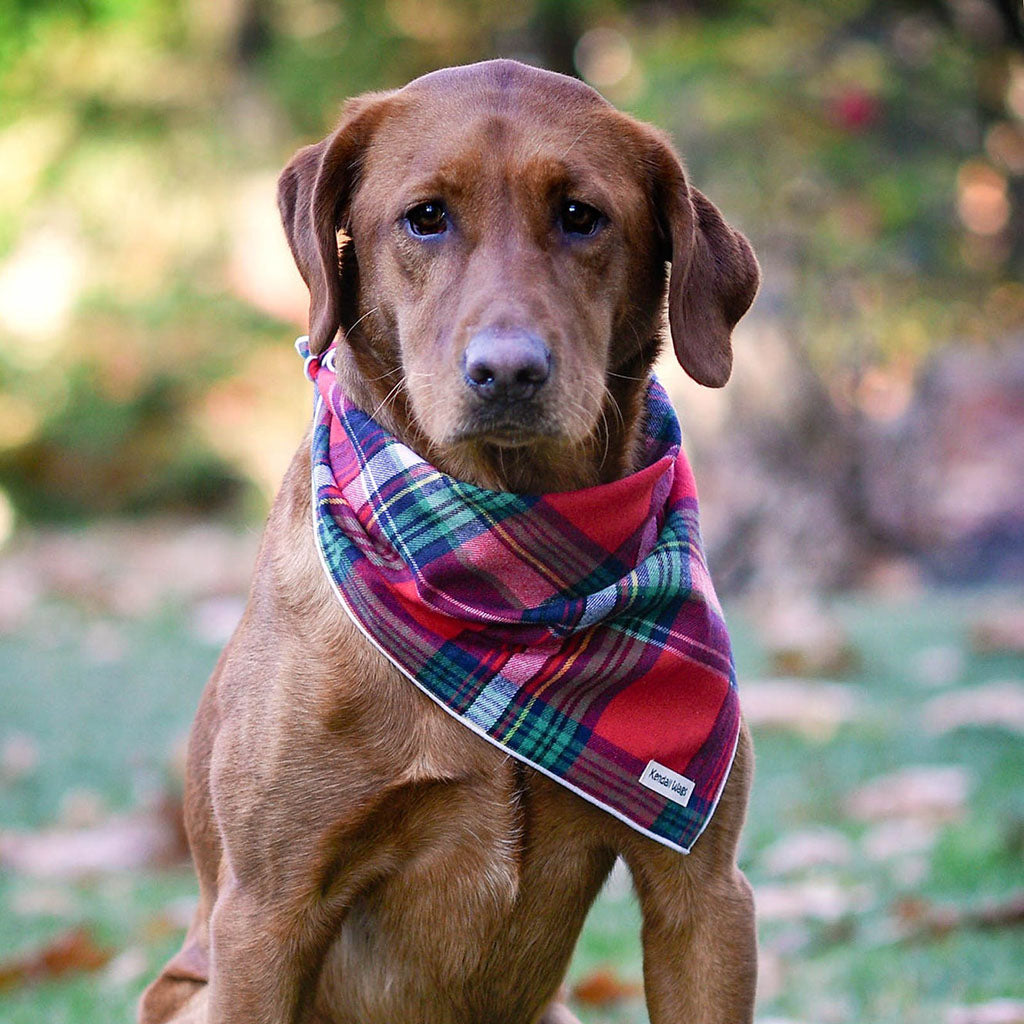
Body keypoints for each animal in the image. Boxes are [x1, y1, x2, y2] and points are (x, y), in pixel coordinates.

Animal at [138, 58, 761, 1024]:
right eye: (426, 216)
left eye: (581, 214)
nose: (507, 370)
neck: (508, 591)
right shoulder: (264, 914)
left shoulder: (705, 895)